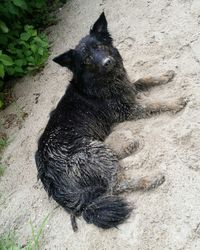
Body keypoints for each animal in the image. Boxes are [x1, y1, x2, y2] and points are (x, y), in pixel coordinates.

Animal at [35, 11, 187, 230]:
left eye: (99, 46)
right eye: (87, 59)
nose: (107, 62)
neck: (102, 80)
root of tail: (49, 179)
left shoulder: (129, 89)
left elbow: (144, 79)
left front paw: (164, 75)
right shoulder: (129, 110)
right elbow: (154, 103)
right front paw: (173, 101)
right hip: (92, 151)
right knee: (116, 183)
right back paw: (150, 178)